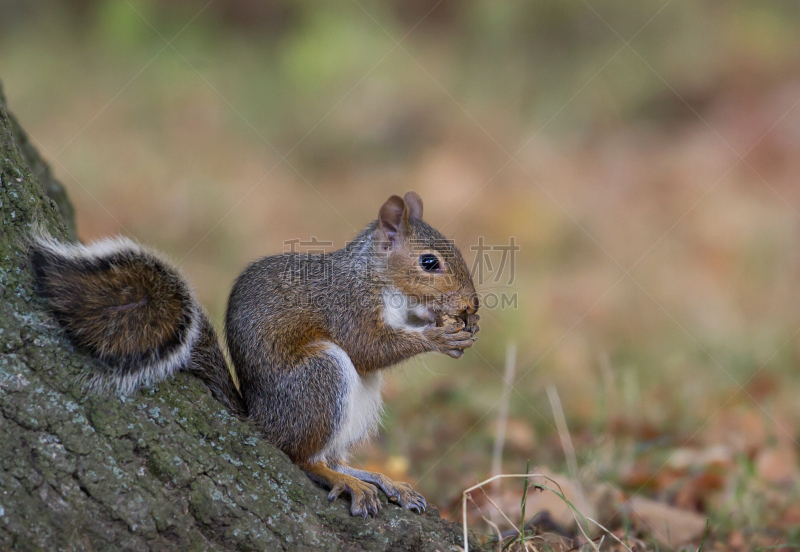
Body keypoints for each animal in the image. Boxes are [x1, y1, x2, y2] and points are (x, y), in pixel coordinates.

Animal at [29, 193, 482, 516]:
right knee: (304, 457)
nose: (471, 303)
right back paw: (349, 482)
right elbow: (368, 348)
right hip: (321, 375)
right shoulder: (347, 306)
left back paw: (382, 480)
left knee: (333, 456)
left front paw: (462, 324)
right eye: (429, 262)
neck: (374, 276)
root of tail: (261, 420)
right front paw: (439, 336)